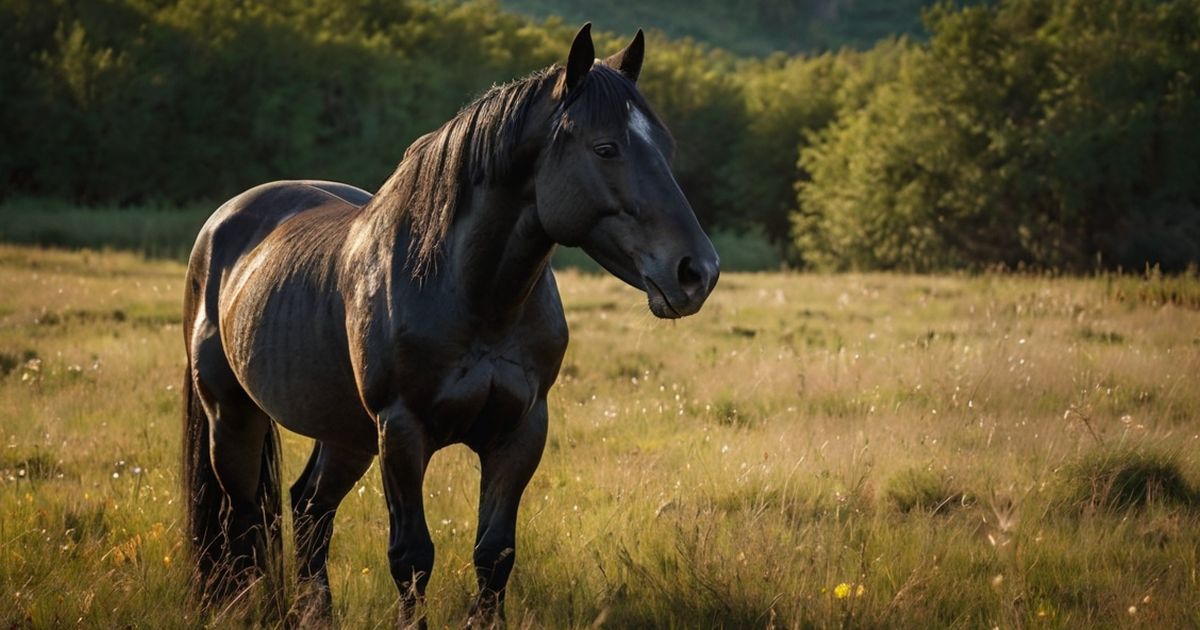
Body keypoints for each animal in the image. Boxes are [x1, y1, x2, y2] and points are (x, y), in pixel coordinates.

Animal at [182, 23, 715, 624]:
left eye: (665, 148)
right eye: (606, 148)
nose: (697, 271)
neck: (471, 293)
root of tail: (222, 223)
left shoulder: (520, 432)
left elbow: (494, 554)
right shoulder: (402, 431)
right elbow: (411, 557)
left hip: (345, 433)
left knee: (309, 509)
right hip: (234, 416)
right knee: (242, 519)